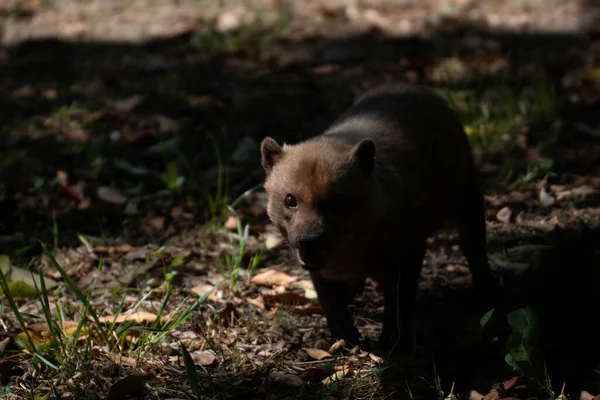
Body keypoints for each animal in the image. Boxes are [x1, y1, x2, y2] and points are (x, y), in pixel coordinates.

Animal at [258, 83, 496, 356]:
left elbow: (398, 304)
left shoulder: (408, 255)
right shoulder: (321, 273)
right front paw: (344, 339)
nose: (308, 240)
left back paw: (486, 293)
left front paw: (392, 343)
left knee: (476, 252)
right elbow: (332, 303)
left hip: (469, 204)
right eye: (290, 199)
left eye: (336, 201)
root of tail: (414, 87)